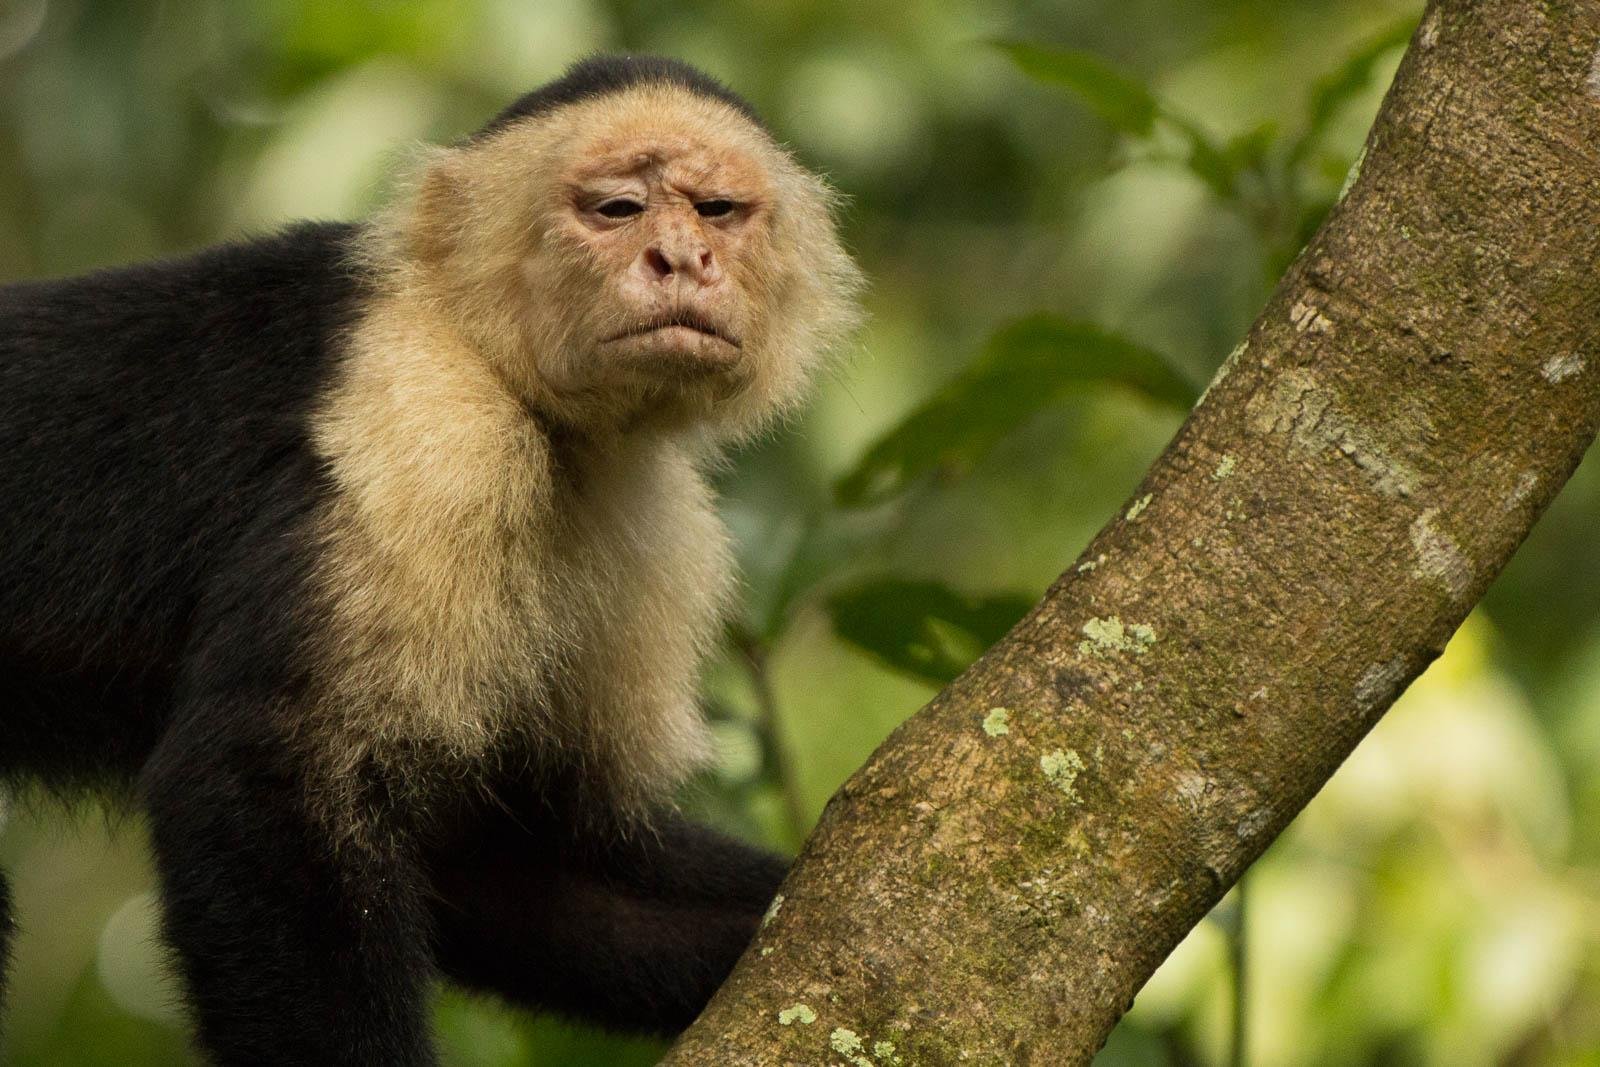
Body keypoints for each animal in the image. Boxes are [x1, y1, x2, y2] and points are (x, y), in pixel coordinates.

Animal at [0, 54, 863, 1065]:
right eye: (616, 209)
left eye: (718, 209)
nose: (682, 259)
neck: (503, 370)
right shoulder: (428, 424)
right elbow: (260, 781)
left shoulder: (648, 526)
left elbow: (506, 858)